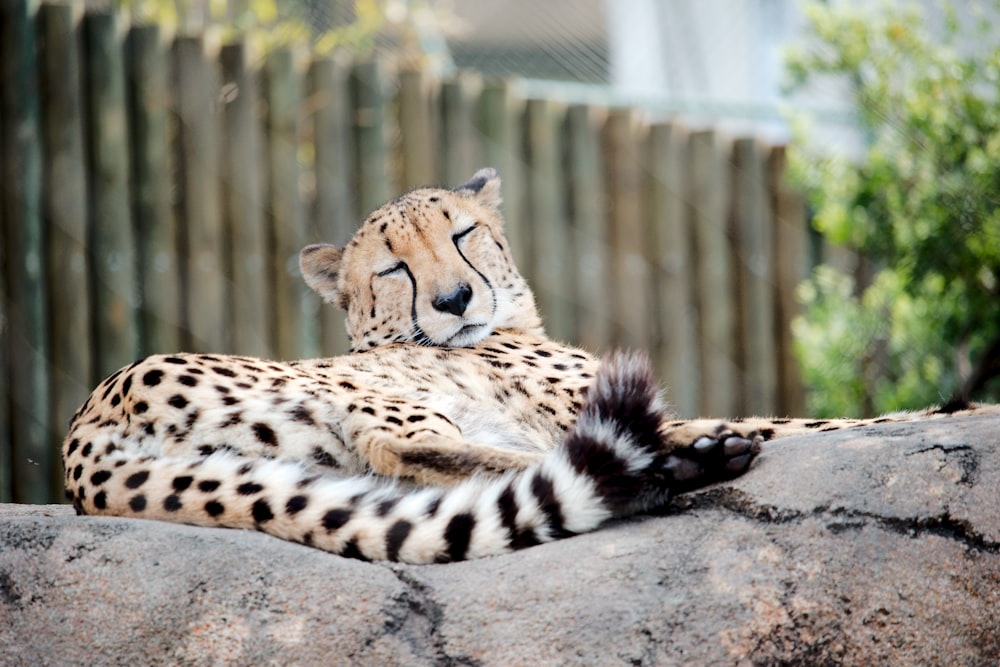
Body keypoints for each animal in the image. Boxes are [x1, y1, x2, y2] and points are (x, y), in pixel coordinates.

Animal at [64, 167, 1000, 564]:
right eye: (393, 269)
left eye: (462, 232)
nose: (452, 301)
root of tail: (84, 433)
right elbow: (834, 419)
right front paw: (959, 410)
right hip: (379, 406)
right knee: (439, 456)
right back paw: (676, 466)